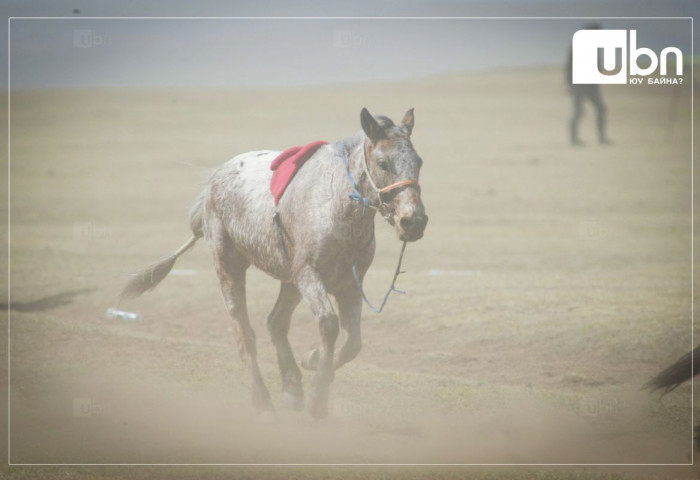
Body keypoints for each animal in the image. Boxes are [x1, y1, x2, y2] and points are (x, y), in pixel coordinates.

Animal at [119, 108, 426, 416]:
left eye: (419, 162)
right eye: (383, 163)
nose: (414, 221)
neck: (334, 203)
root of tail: (214, 180)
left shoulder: (350, 284)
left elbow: (353, 343)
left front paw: (312, 361)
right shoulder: (309, 275)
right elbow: (329, 325)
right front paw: (317, 397)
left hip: (289, 282)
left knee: (275, 323)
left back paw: (292, 385)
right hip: (229, 267)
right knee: (246, 335)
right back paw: (263, 401)